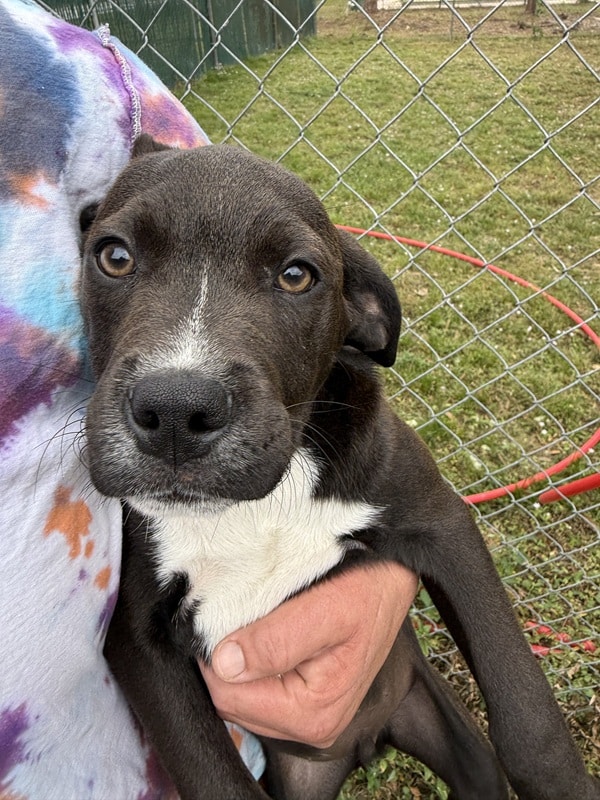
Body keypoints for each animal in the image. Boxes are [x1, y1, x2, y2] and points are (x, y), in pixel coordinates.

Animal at [81, 134, 599, 800]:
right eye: (115, 257)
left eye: (296, 274)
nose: (175, 410)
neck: (258, 508)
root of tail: (364, 746)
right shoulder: (138, 641)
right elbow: (217, 776)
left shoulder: (443, 522)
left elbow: (528, 716)